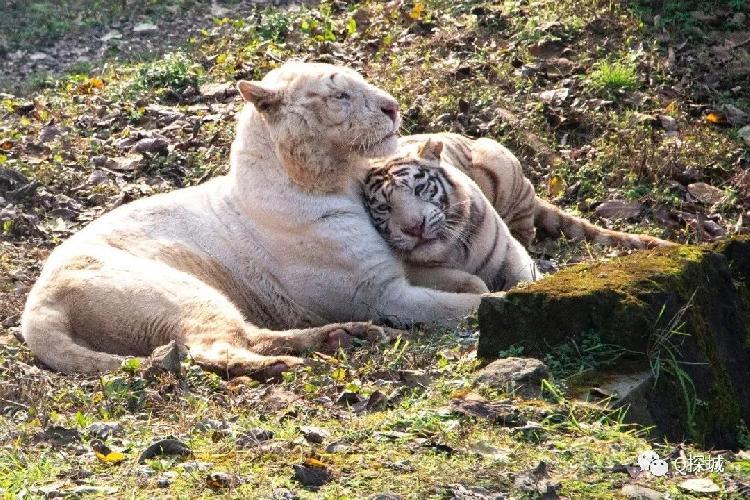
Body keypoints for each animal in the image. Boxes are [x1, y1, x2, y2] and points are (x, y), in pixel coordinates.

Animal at [364, 138, 540, 292]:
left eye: (419, 188)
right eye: (384, 207)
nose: (415, 228)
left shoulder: (508, 250)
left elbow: (526, 277)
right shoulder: (415, 272)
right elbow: (470, 282)